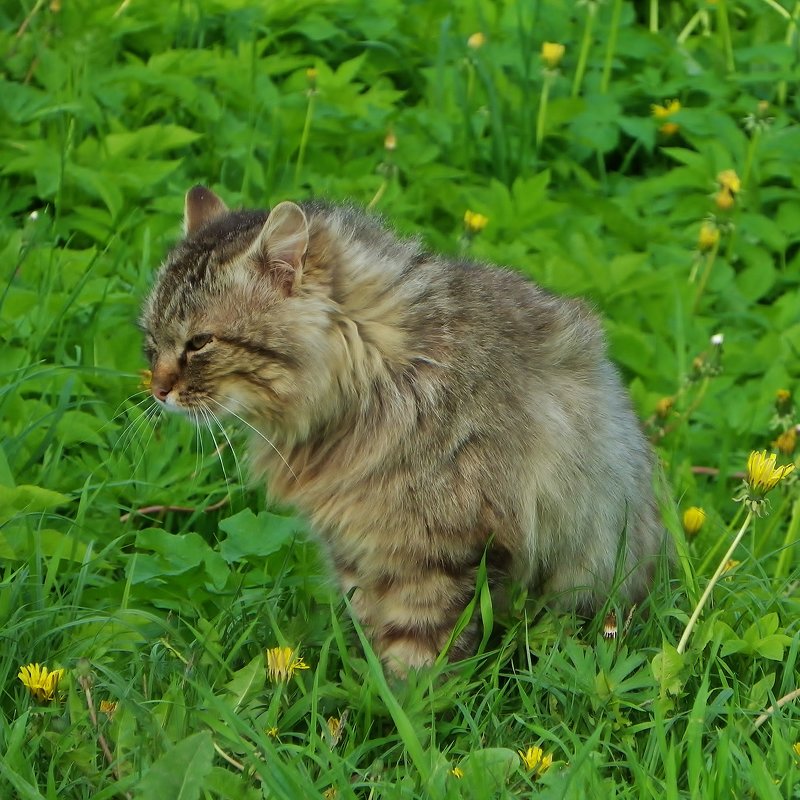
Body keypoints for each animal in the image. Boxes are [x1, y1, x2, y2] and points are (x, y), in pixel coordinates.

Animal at [141, 184, 664, 672]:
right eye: (151, 342)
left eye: (199, 343)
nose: (157, 390)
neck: (378, 378)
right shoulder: (358, 549)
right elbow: (371, 634)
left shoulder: (439, 552)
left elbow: (418, 657)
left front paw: (401, 704)